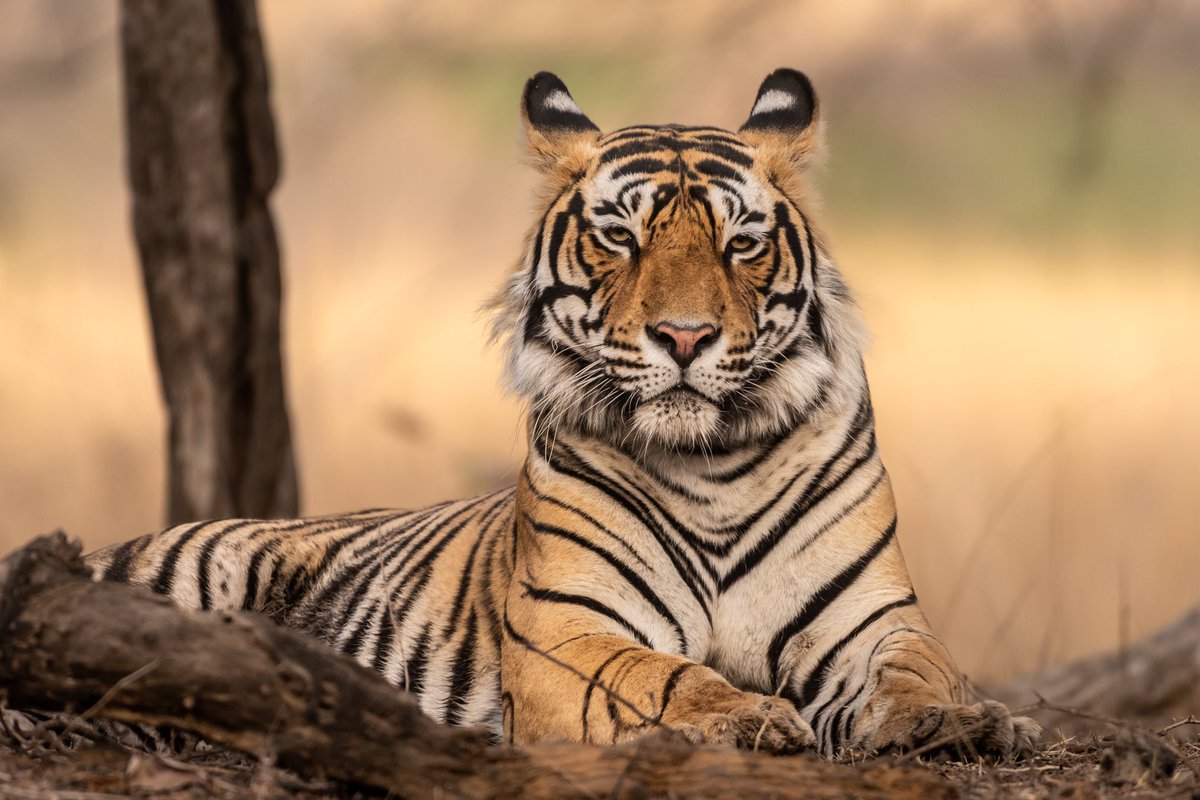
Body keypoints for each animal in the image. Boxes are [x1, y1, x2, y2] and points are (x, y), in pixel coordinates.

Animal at [85, 69, 1040, 759]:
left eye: (741, 243)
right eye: (621, 236)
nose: (685, 336)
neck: (714, 464)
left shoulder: (869, 622)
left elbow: (916, 673)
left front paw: (963, 721)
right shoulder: (568, 629)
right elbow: (659, 676)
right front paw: (750, 719)